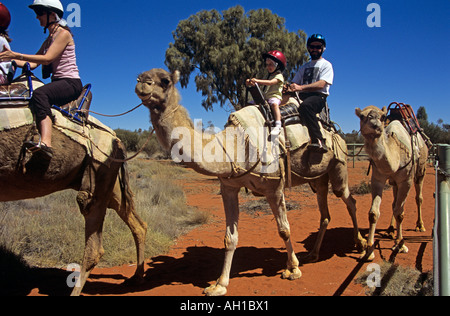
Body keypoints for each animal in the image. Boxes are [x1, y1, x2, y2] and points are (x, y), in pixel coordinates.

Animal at [0, 76, 147, 294]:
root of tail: (117, 140)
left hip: (97, 178)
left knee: (94, 245)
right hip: (108, 184)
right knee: (137, 223)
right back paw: (136, 277)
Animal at [134, 68, 366, 296]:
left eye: (164, 80)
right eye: (143, 76)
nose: (141, 82)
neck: (234, 144)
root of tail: (333, 129)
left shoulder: (275, 187)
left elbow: (284, 229)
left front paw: (293, 269)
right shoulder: (229, 187)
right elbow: (230, 237)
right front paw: (219, 284)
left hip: (338, 164)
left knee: (349, 200)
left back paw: (363, 245)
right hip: (318, 178)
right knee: (325, 213)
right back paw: (313, 254)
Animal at [356, 105, 428, 260]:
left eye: (383, 117)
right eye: (362, 116)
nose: (376, 126)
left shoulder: (406, 180)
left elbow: (400, 213)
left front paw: (400, 245)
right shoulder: (378, 178)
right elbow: (374, 213)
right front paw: (368, 251)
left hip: (421, 171)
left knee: (418, 197)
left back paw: (420, 226)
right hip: (394, 182)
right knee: (394, 203)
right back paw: (390, 229)